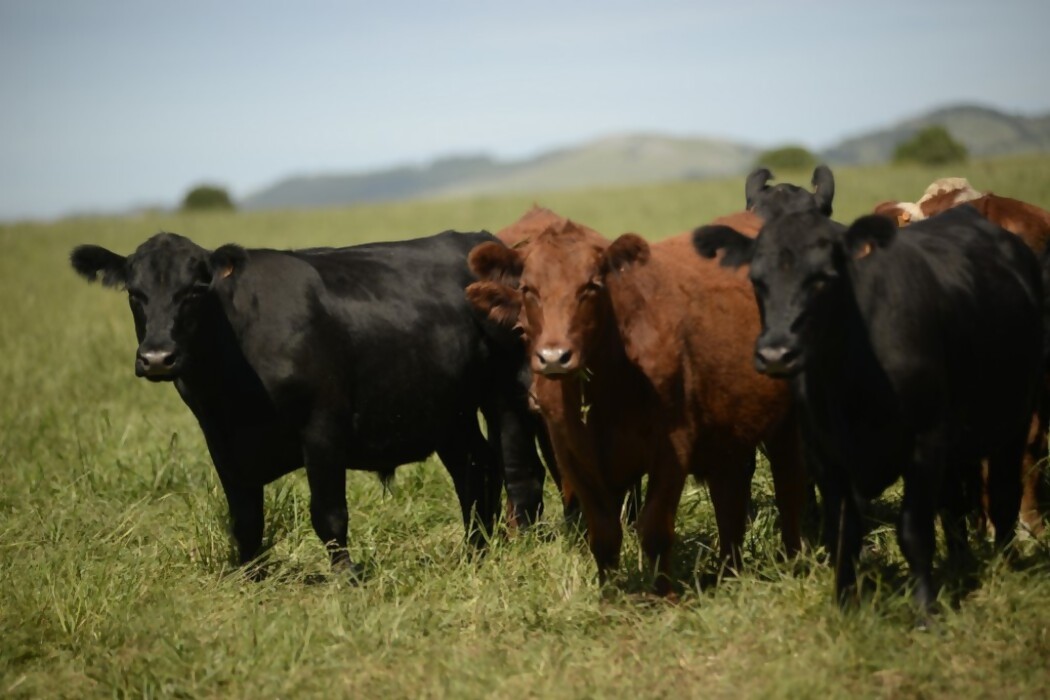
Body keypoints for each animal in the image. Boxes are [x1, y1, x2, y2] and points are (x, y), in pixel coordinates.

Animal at [69, 230, 546, 574]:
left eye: (196, 289)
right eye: (134, 293)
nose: (157, 357)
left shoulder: (321, 427)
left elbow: (329, 513)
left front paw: (345, 576)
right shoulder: (220, 439)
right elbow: (245, 519)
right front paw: (252, 577)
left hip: (505, 393)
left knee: (520, 472)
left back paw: (525, 550)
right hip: (448, 410)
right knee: (475, 471)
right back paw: (474, 552)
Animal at [466, 212, 806, 596]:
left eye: (592, 285)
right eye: (528, 289)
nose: (555, 357)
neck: (608, 390)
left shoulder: (672, 447)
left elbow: (655, 528)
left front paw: (664, 595)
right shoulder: (575, 457)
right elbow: (603, 533)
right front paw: (610, 596)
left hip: (786, 423)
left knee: (789, 486)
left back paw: (792, 561)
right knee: (730, 497)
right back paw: (727, 571)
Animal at [693, 205, 1043, 614]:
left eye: (824, 278)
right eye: (756, 280)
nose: (776, 354)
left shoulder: (925, 444)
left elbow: (914, 531)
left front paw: (925, 610)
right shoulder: (825, 456)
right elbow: (844, 533)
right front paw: (845, 605)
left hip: (1015, 420)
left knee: (1004, 495)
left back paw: (1004, 563)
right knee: (954, 505)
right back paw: (960, 563)